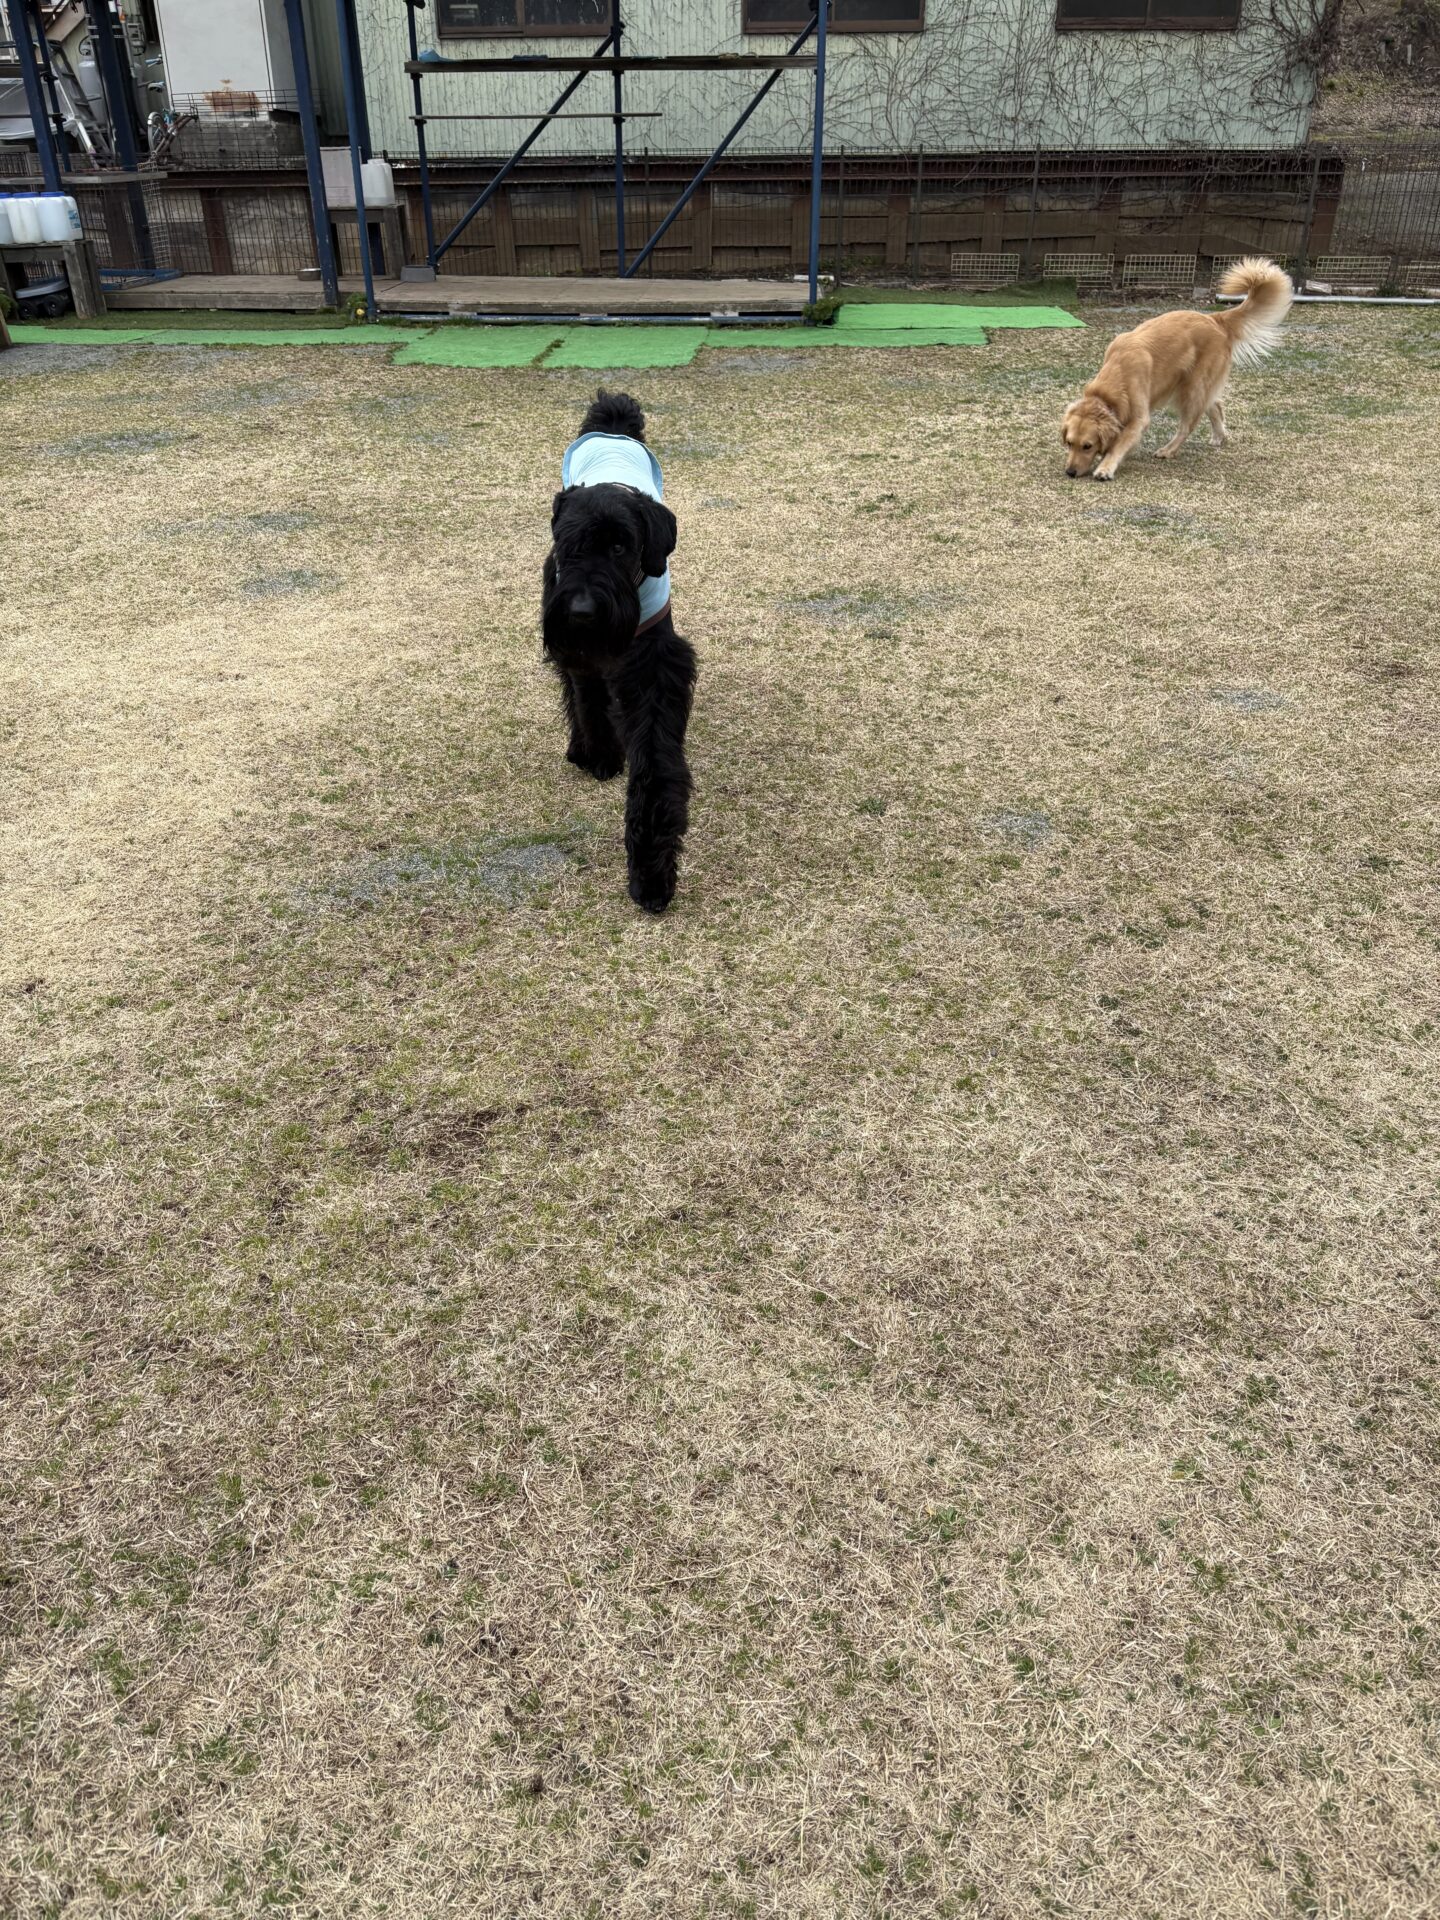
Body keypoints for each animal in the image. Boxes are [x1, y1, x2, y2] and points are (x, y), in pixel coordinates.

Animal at [542, 390, 696, 915]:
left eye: (619, 548)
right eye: (567, 545)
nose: (582, 610)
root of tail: (611, 423)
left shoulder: (654, 670)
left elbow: (654, 763)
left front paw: (650, 871)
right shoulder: (579, 653)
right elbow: (588, 702)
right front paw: (602, 753)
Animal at [1060, 258, 1293, 481]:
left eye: (1087, 446)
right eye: (1069, 443)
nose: (1070, 472)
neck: (1116, 379)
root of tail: (1215, 319)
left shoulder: (1139, 418)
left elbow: (1119, 444)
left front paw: (1105, 468)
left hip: (1191, 388)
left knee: (1188, 425)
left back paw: (1169, 450)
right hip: (1197, 386)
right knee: (1215, 405)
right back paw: (1219, 436)